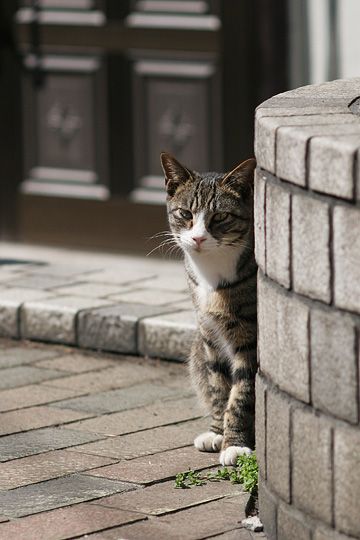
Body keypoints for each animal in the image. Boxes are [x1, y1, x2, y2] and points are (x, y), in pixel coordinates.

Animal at [160, 151, 256, 464]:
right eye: (185, 214)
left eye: (221, 216)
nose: (198, 238)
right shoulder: (209, 334)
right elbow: (218, 386)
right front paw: (217, 432)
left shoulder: (249, 339)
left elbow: (241, 393)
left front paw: (234, 444)